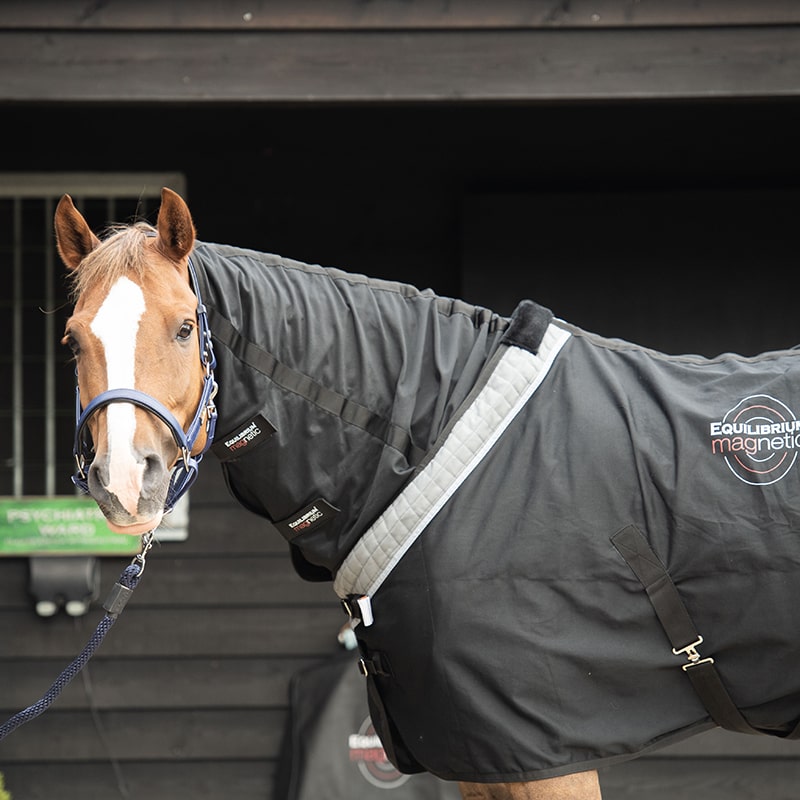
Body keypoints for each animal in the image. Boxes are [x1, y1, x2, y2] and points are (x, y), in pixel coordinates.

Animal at [53, 186, 800, 800]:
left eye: (184, 327)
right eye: (72, 341)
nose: (125, 481)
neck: (438, 439)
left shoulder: (544, 751)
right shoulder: (485, 756)